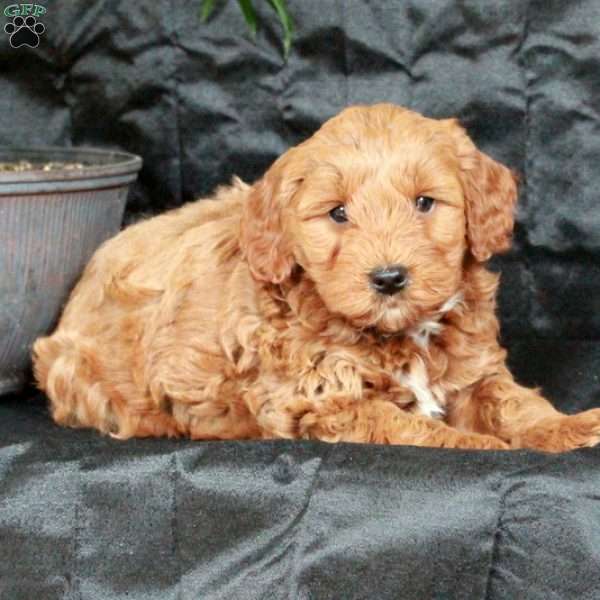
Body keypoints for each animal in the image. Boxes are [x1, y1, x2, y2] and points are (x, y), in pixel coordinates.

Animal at [32, 104, 600, 450]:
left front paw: (568, 426)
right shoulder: (322, 403)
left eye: (424, 203)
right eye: (338, 213)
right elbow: (411, 426)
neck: (400, 334)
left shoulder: (474, 371)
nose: (389, 278)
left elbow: (513, 402)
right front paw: (478, 444)